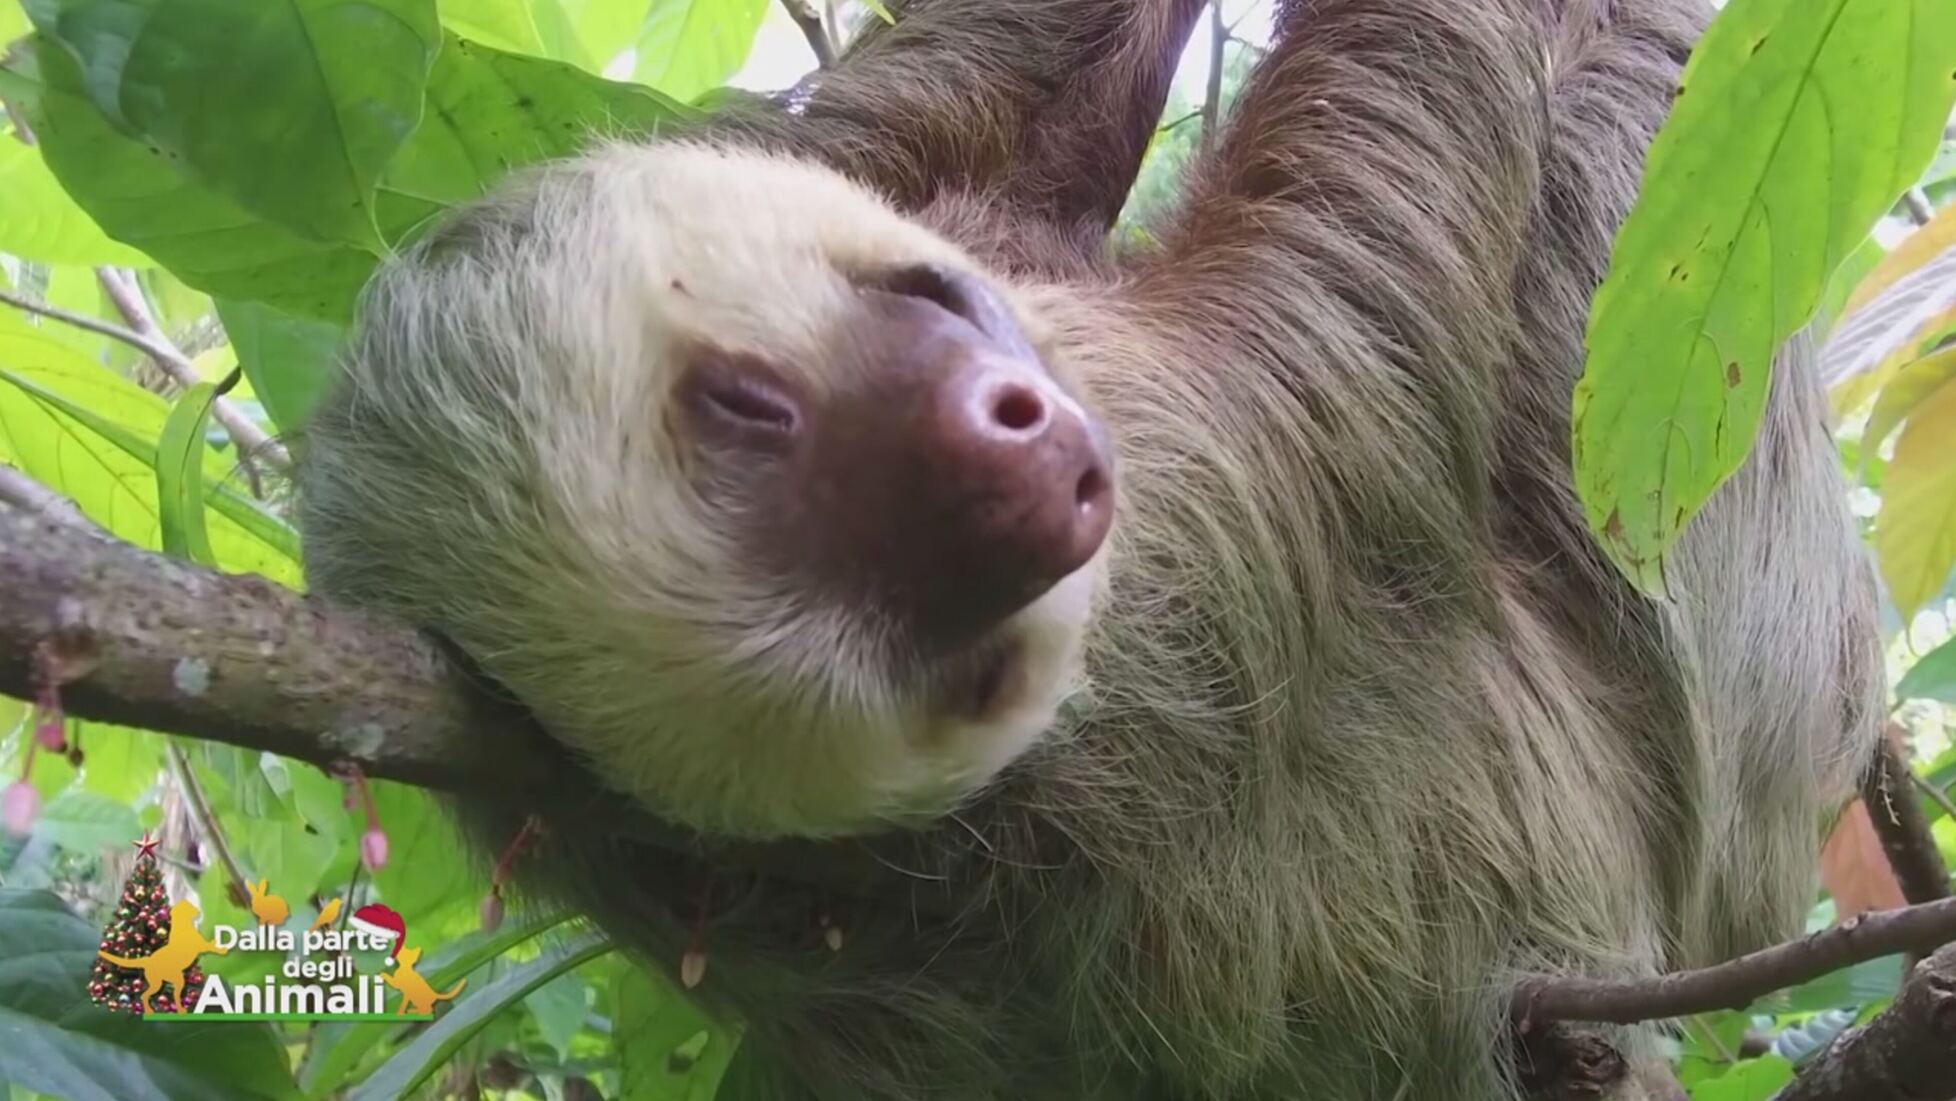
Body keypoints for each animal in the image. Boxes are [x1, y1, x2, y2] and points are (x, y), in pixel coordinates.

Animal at [294, 0, 1886, 1097]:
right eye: (928, 645)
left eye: (748, 408)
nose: (1031, 479)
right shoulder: (1246, 462)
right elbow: (1409, 135)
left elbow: (966, 106)